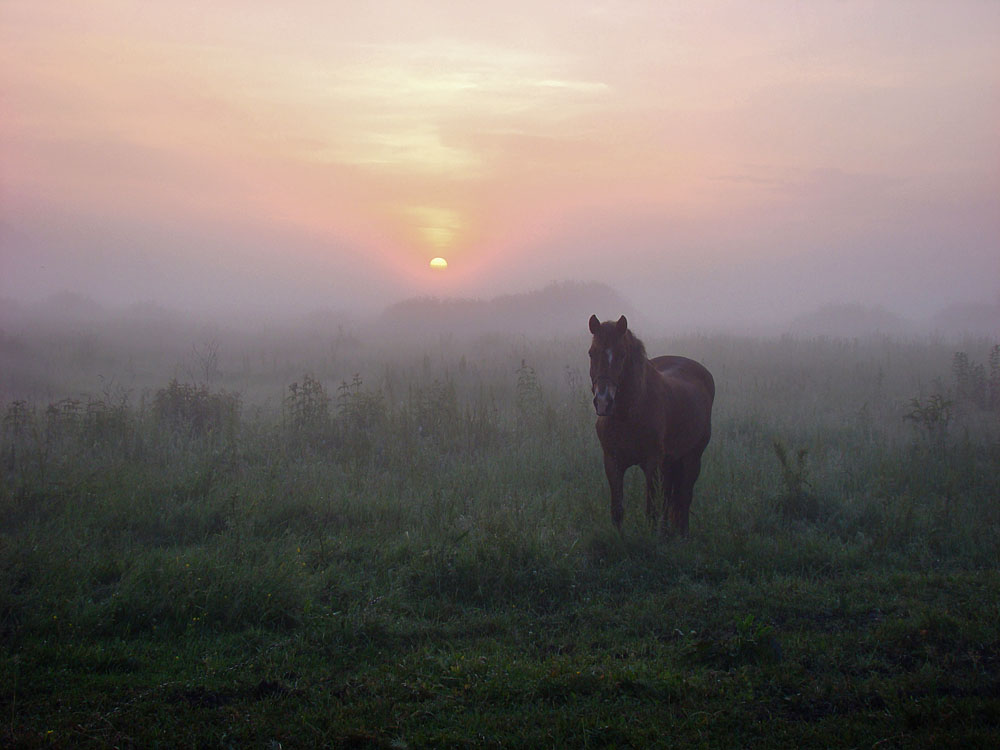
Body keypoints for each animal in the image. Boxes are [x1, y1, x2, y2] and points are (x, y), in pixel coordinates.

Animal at [588, 314, 716, 536]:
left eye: (622, 355)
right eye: (591, 353)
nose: (603, 401)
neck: (627, 416)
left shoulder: (652, 464)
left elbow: (651, 510)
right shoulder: (612, 462)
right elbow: (617, 510)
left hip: (692, 458)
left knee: (684, 497)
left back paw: (682, 534)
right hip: (670, 462)